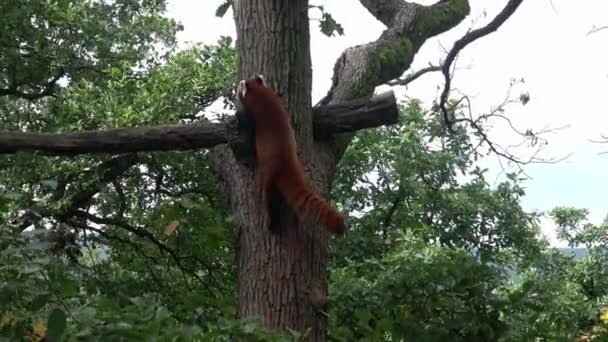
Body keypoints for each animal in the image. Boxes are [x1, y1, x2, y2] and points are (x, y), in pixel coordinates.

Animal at [235, 75, 344, 235]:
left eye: (238, 89)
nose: (235, 90)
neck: (262, 95)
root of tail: (287, 162)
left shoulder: (253, 114)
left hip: (269, 175)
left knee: (270, 198)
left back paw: (272, 222)